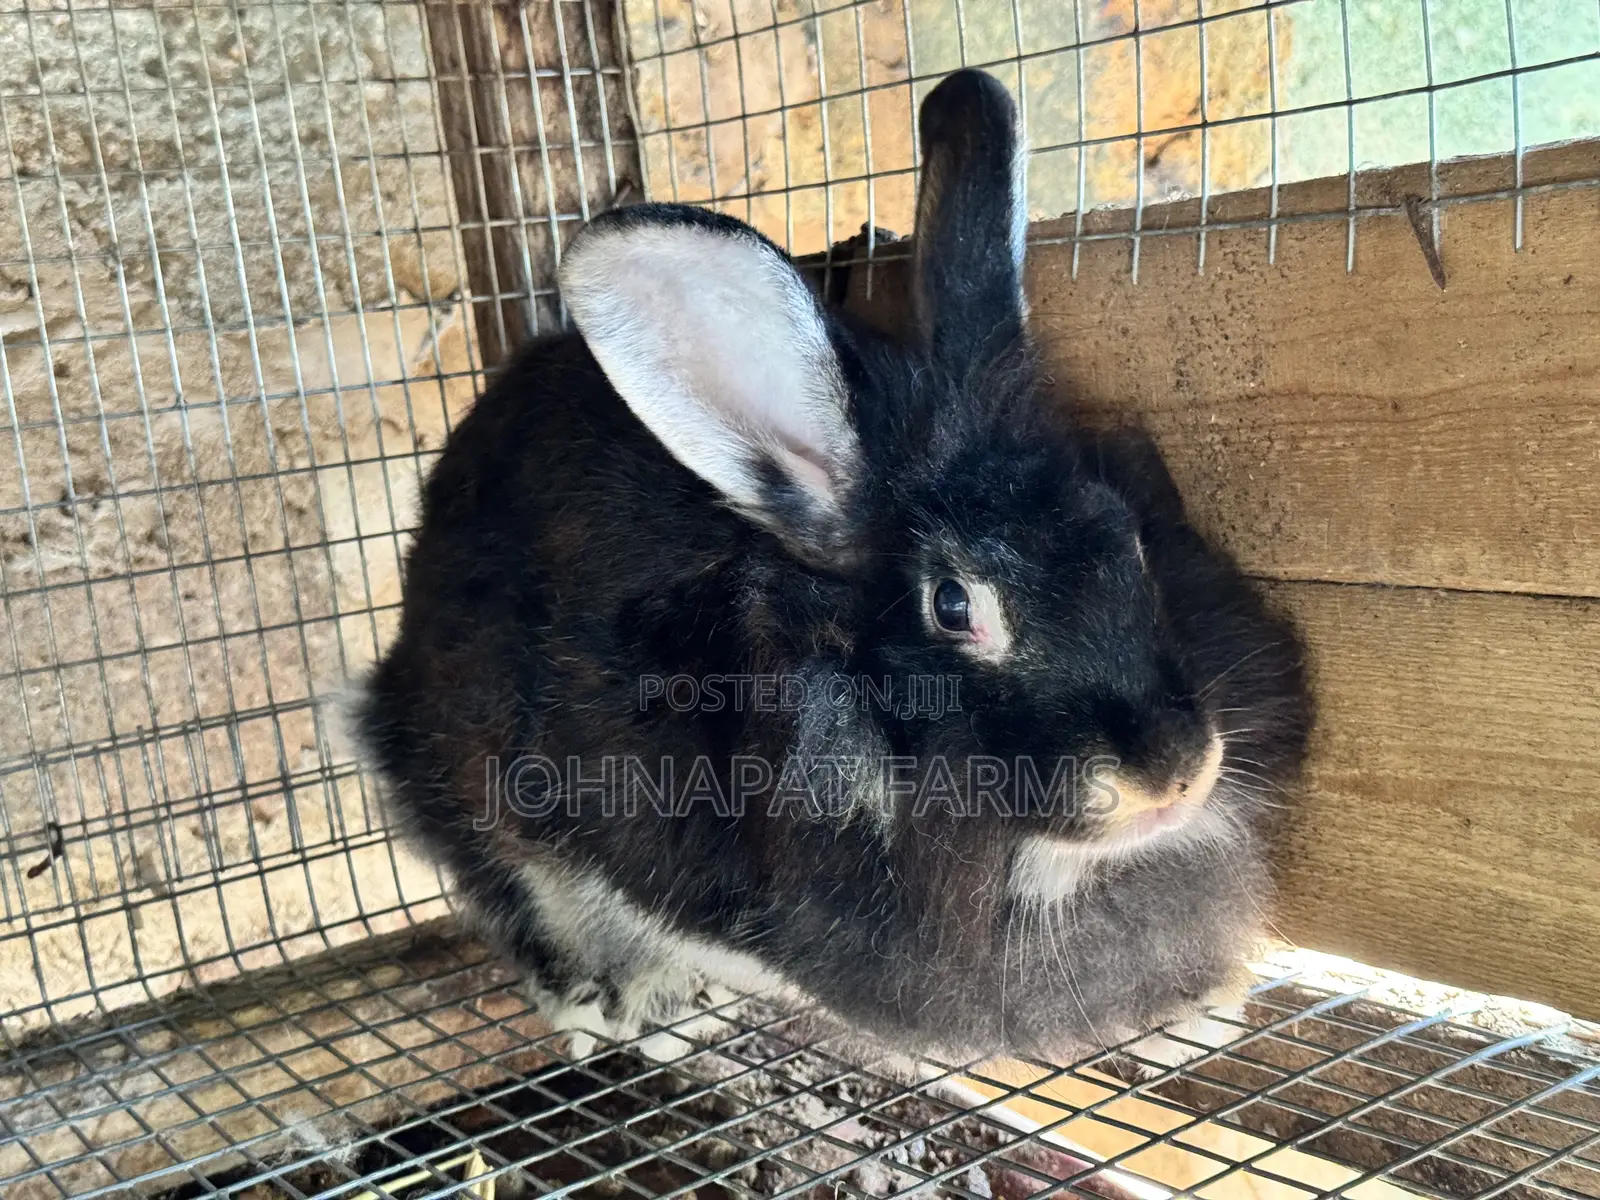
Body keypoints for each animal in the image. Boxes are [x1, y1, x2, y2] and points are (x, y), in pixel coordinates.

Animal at [353, 67, 1312, 1069]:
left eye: (1127, 537)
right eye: (952, 604)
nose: (1171, 777)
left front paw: (1200, 1014)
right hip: (452, 767)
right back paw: (628, 1005)